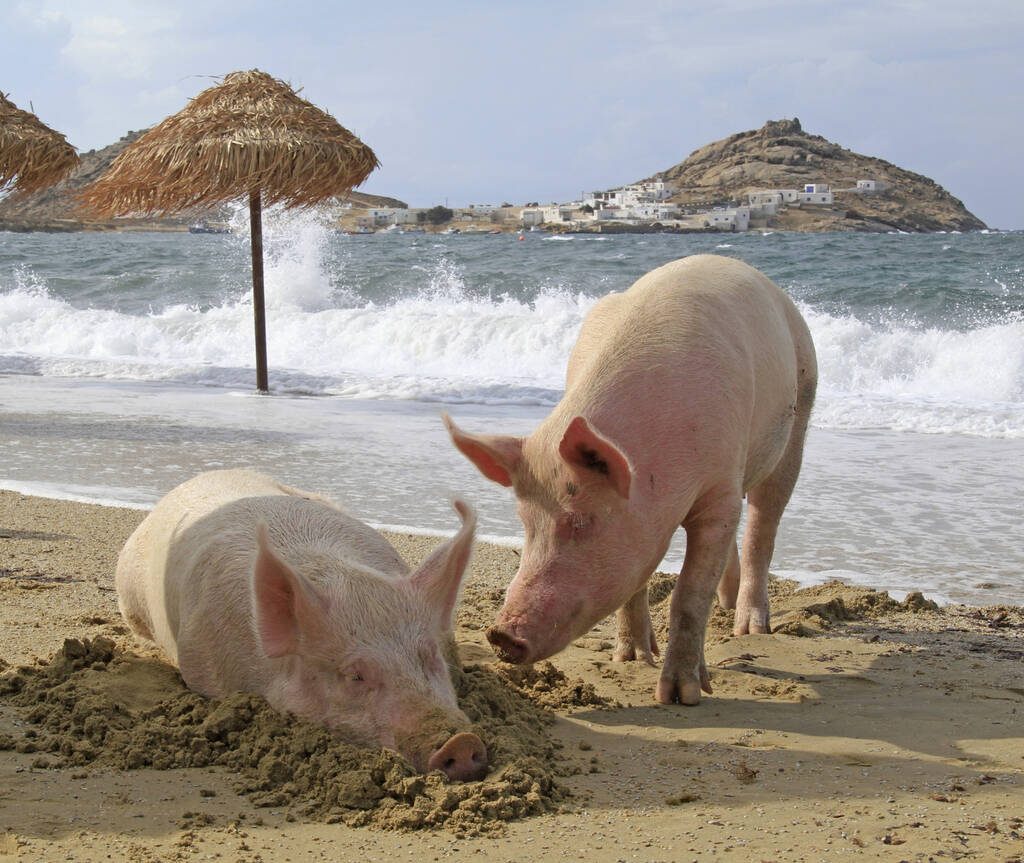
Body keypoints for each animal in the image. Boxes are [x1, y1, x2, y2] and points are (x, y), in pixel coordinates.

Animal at [444, 254, 817, 706]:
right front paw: (633, 659)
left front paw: (680, 695)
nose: (500, 634)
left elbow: (690, 594)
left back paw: (750, 628)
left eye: (581, 522)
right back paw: (725, 609)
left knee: (763, 526)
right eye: (526, 523)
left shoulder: (719, 488)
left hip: (800, 407)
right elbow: (636, 585)